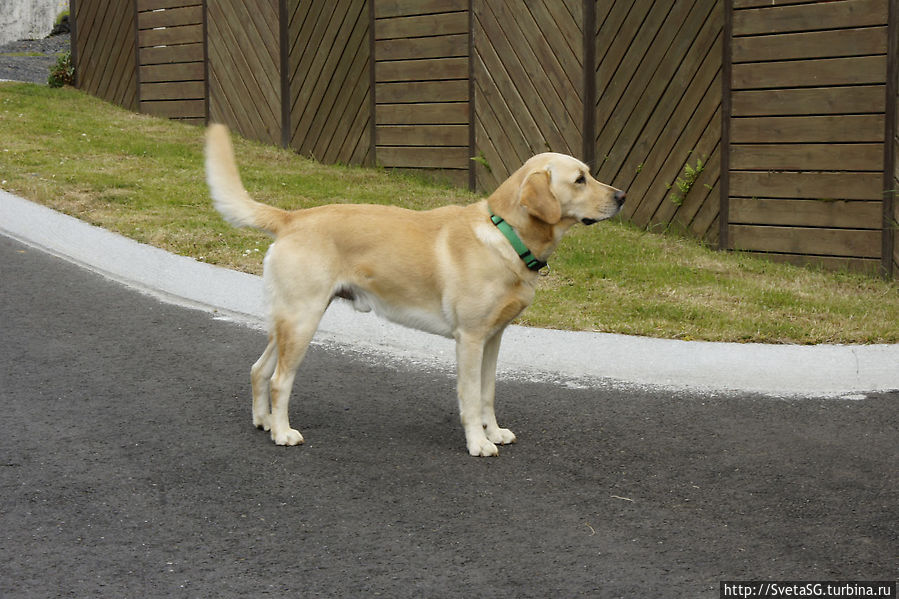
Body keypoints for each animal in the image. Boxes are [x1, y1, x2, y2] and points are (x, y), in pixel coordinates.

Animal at [206, 124, 624, 458]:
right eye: (580, 179)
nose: (621, 196)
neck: (505, 233)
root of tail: (291, 218)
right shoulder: (470, 339)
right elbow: (470, 397)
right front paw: (478, 443)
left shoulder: (494, 338)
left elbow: (488, 393)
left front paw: (494, 432)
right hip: (302, 319)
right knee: (280, 380)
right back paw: (282, 431)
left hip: (289, 320)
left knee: (258, 369)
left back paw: (263, 421)